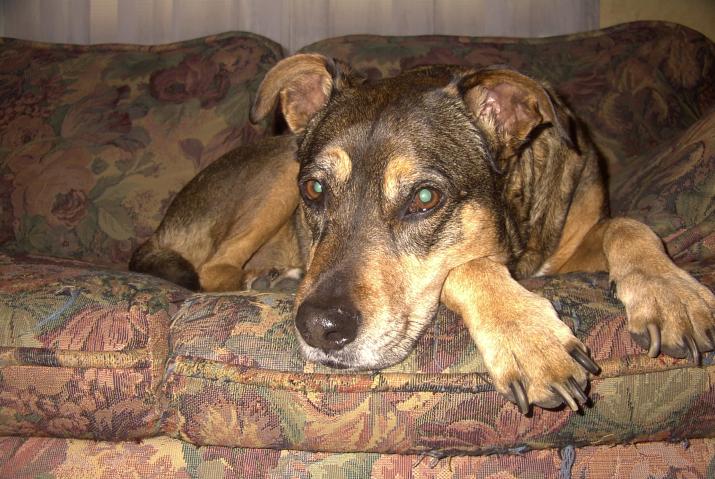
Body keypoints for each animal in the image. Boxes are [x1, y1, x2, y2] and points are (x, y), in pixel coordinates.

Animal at [130, 54, 715, 416]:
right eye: (315, 189)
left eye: (426, 198)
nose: (319, 327)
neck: (517, 233)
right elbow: (468, 266)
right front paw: (529, 339)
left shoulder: (577, 243)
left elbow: (628, 225)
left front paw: (671, 295)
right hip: (276, 166)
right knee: (213, 268)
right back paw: (269, 281)